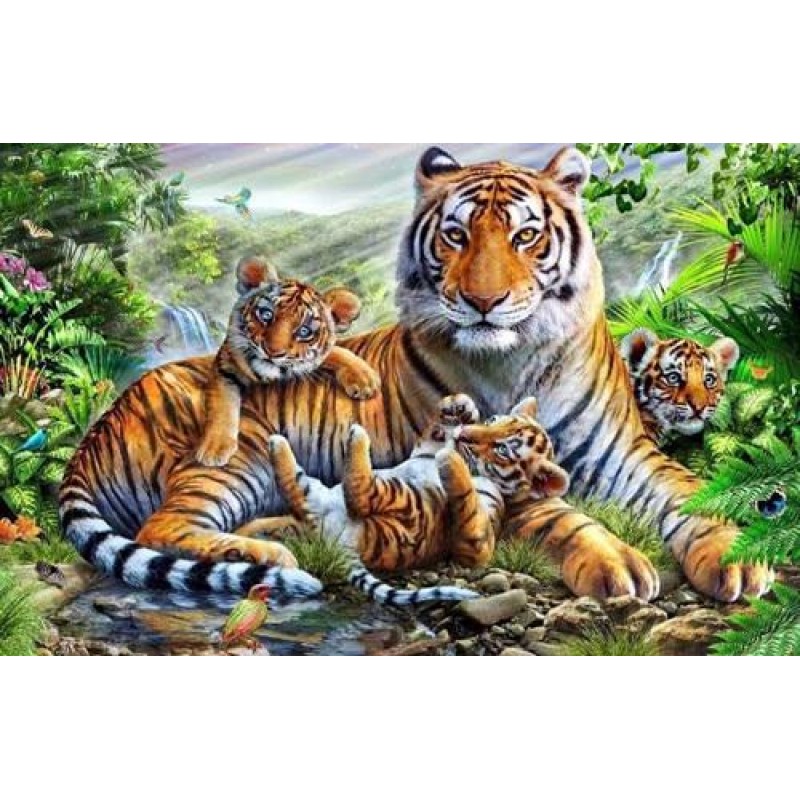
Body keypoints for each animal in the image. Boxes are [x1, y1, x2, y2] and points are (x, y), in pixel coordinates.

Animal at [195, 256, 380, 466]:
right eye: (266, 314)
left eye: (304, 331)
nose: (272, 352)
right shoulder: (224, 367)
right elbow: (222, 404)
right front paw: (215, 448)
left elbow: (334, 352)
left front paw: (364, 378)